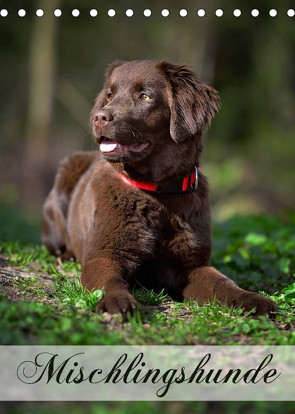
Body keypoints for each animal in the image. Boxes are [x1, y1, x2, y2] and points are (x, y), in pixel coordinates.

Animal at [41, 59, 278, 316]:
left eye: (145, 96)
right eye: (109, 95)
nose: (99, 117)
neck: (157, 192)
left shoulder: (189, 264)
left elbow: (223, 282)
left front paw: (252, 299)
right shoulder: (104, 254)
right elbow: (110, 281)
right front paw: (118, 301)